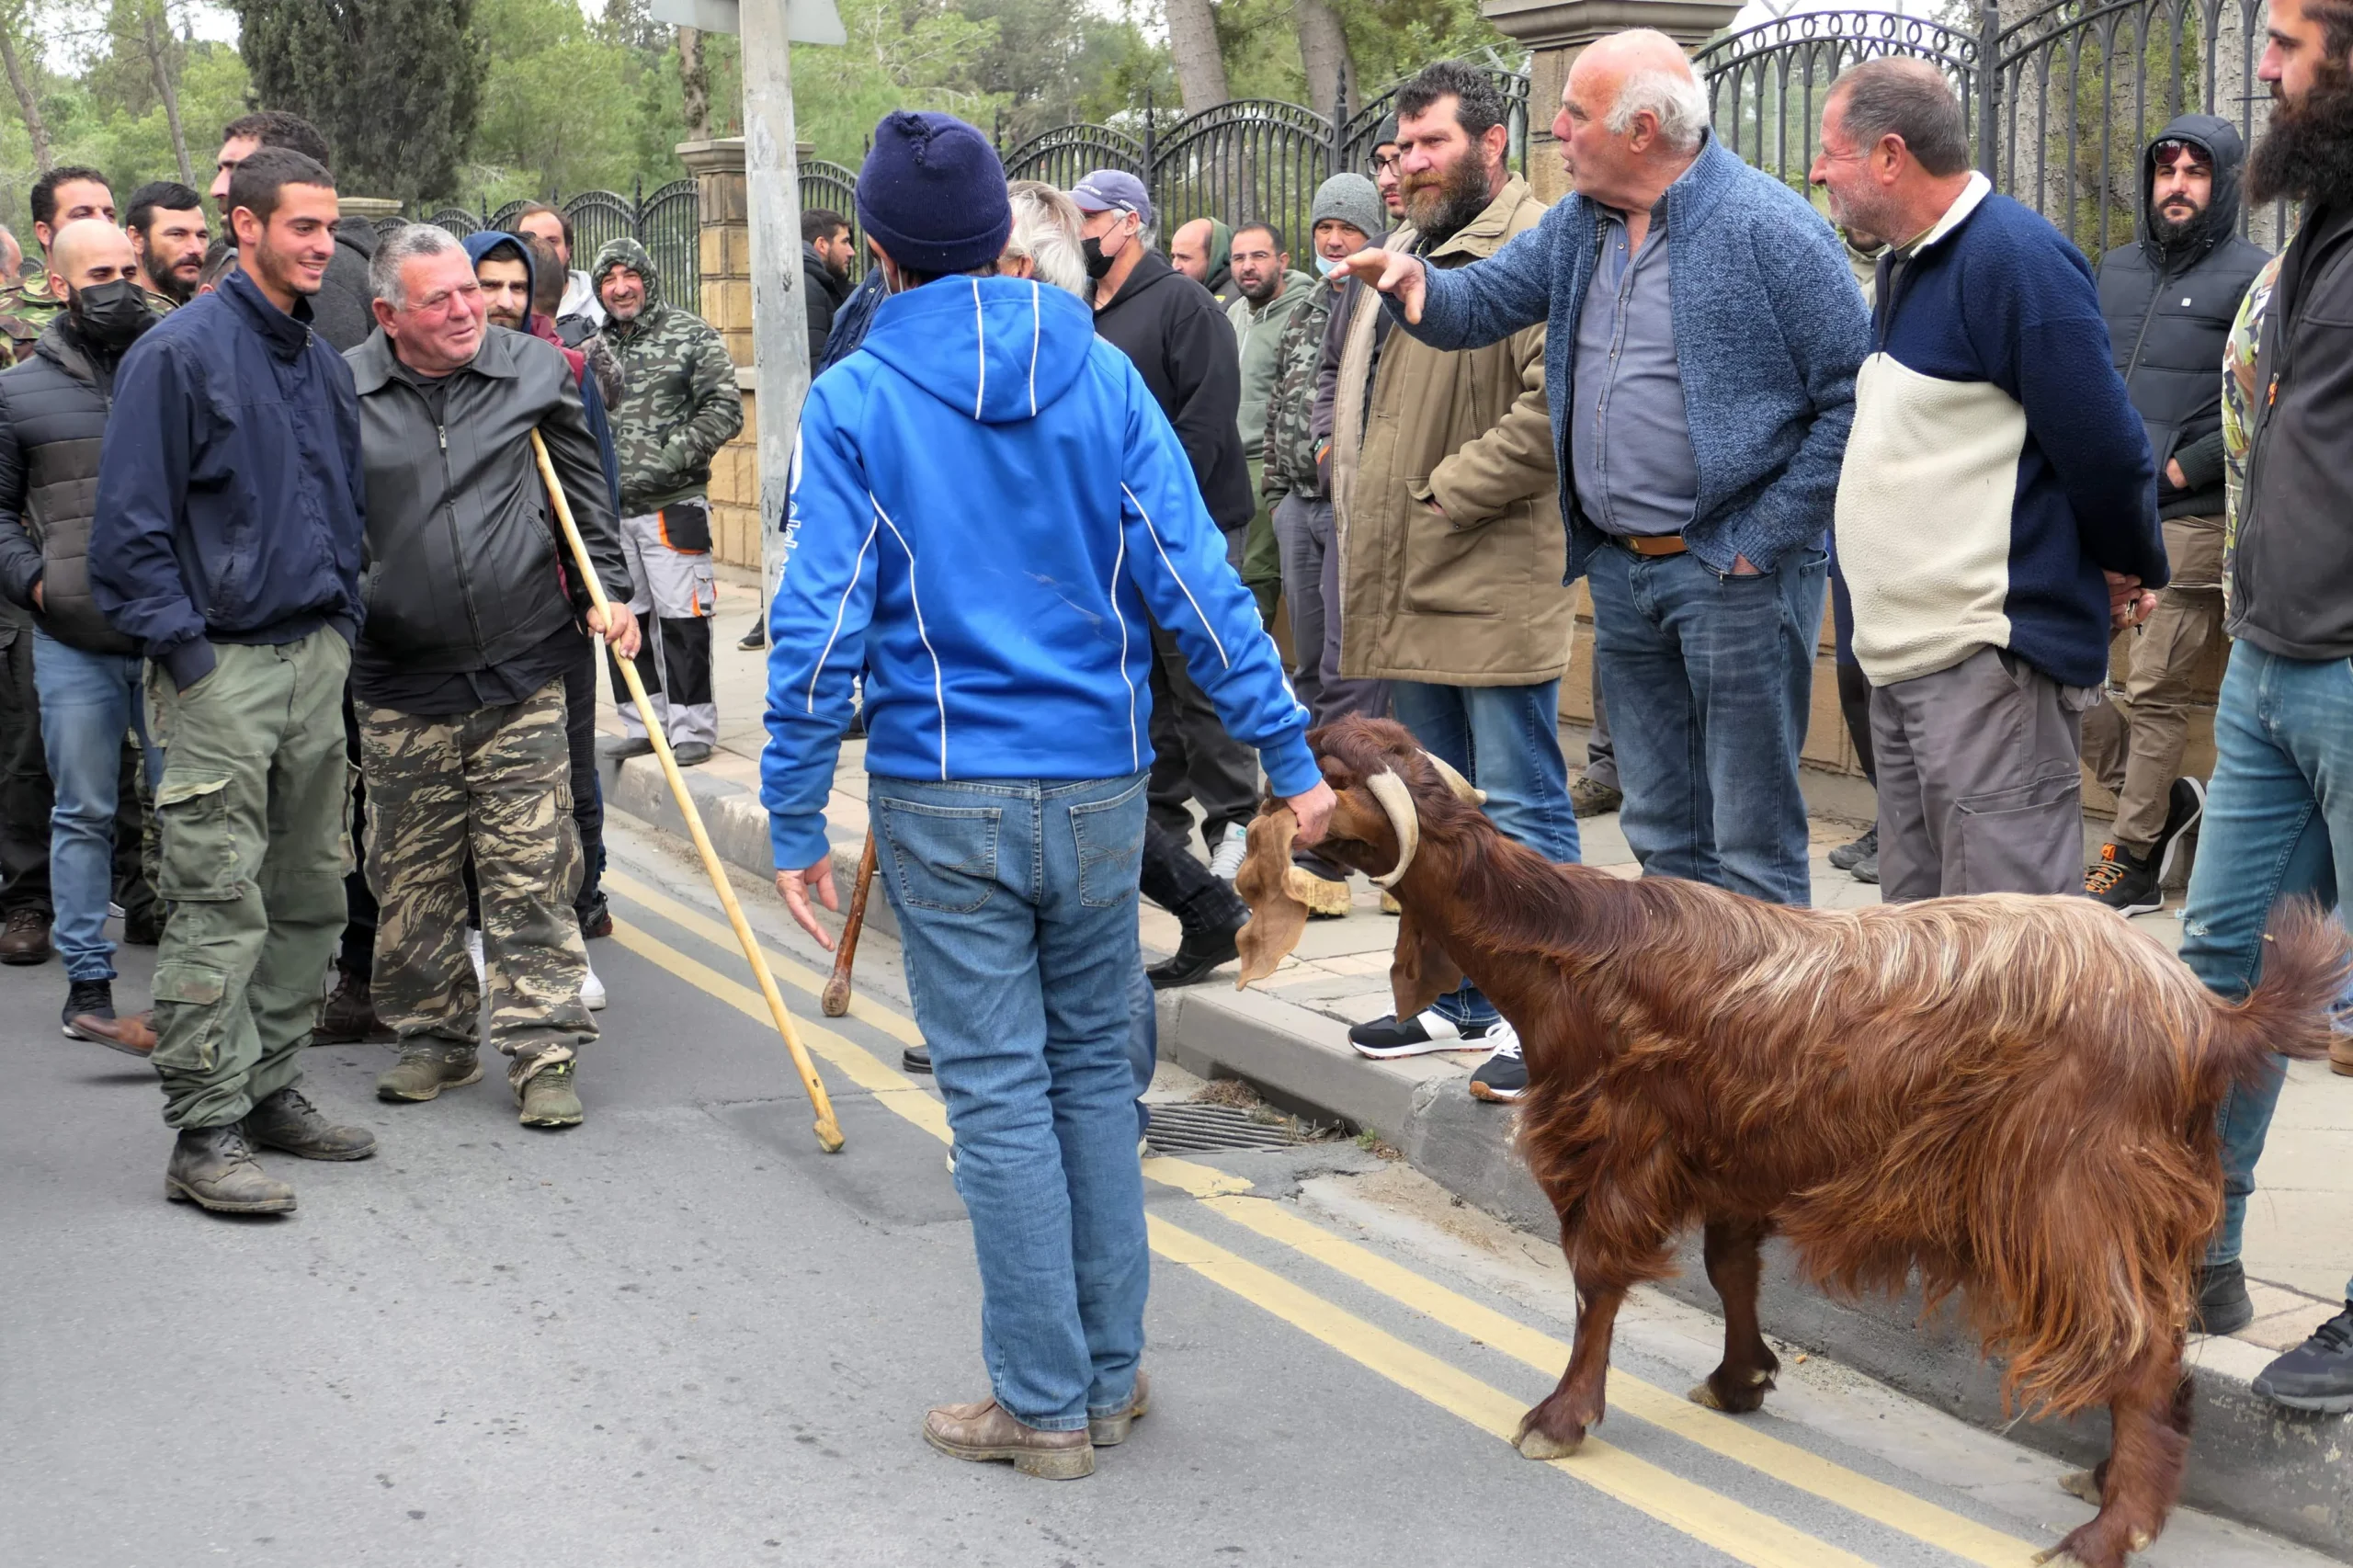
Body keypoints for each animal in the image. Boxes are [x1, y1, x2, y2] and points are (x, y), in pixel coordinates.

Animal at [1242, 715, 2343, 1562]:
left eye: (1330, 772)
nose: (1260, 787)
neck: (1573, 939)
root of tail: (2206, 1013)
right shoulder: (1733, 1150)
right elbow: (1730, 1268)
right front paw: (1740, 1380)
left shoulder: (1624, 1144)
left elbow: (1596, 1279)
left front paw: (1560, 1417)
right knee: (2155, 1337)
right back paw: (2113, 1477)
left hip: (2075, 1190)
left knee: (2140, 1343)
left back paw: (2111, 1528)